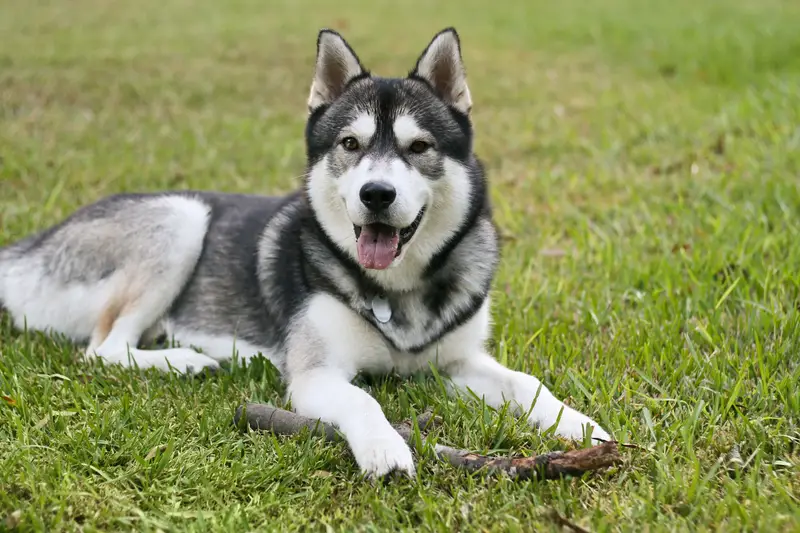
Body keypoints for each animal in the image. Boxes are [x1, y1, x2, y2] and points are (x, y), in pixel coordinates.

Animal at [0, 27, 608, 476]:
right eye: (350, 144)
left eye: (418, 147)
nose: (376, 194)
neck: (397, 288)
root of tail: (29, 244)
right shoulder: (316, 375)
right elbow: (364, 399)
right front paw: (385, 449)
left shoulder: (459, 362)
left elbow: (527, 384)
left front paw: (582, 428)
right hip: (181, 217)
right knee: (102, 349)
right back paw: (186, 361)